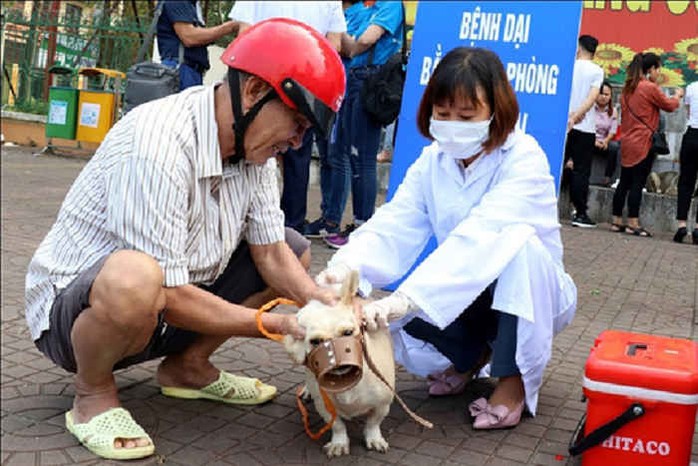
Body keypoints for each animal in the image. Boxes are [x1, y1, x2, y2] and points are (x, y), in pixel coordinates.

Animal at [282, 272, 392, 456]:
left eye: (348, 332)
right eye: (315, 342)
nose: (337, 361)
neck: (345, 383)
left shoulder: (383, 404)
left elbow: (373, 423)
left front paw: (374, 438)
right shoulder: (325, 407)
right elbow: (337, 425)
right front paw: (339, 443)